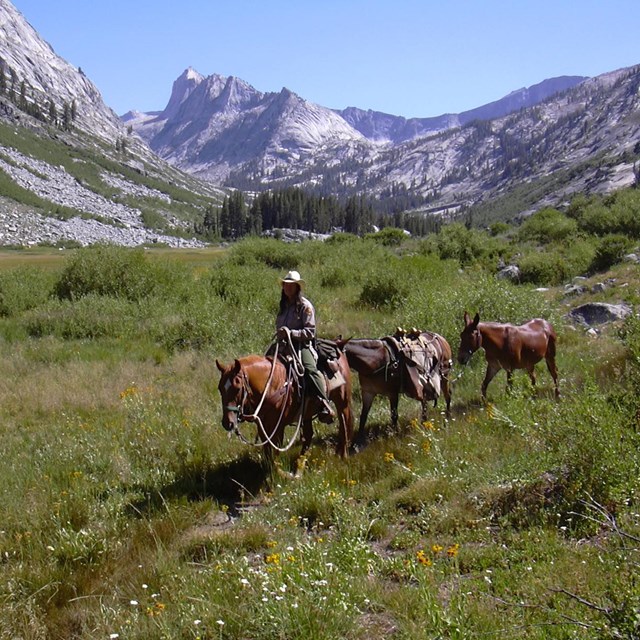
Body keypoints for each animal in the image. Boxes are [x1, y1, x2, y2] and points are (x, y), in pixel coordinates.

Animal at [216, 350, 356, 460]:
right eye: (220, 388)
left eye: (237, 388)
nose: (227, 423)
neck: (271, 385)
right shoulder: (262, 427)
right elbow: (267, 452)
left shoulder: (278, 427)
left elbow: (276, 451)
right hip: (307, 414)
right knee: (308, 435)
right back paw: (300, 464)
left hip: (342, 402)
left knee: (344, 424)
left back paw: (342, 455)